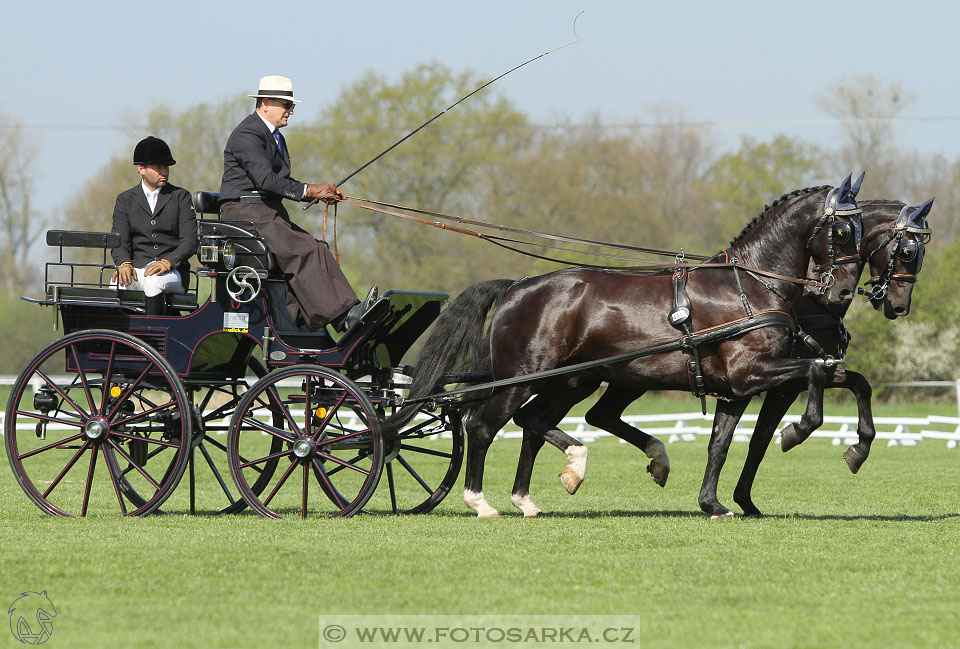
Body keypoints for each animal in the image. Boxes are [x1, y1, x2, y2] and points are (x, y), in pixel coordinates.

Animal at [402, 177, 868, 516]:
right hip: (521, 379)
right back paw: (481, 503)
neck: (750, 284)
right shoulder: (750, 373)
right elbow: (812, 376)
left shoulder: (738, 387)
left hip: (571, 381)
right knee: (482, 426)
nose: (842, 292)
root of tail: (517, 285)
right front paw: (796, 431)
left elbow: (848, 384)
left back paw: (543, 490)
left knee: (533, 422)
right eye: (843, 230)